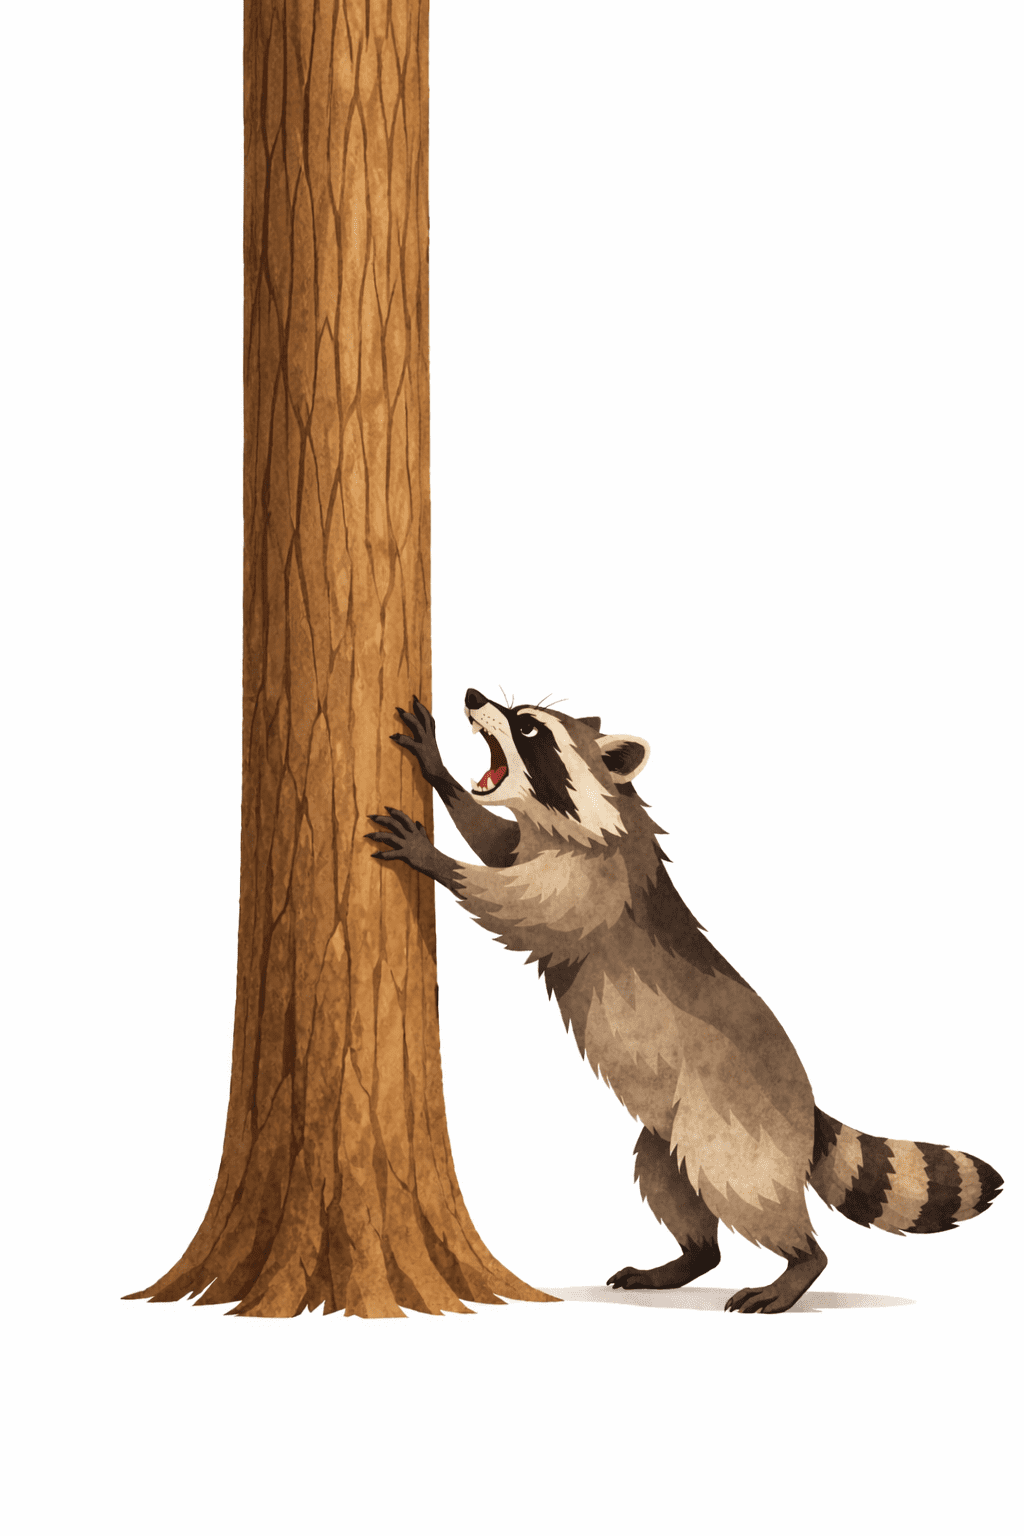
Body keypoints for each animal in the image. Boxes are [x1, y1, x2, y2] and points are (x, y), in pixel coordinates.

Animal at [367, 690, 1003, 1313]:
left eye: (528, 728)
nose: (474, 696)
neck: (573, 820)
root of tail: (806, 1106)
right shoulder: (542, 845)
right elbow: (496, 843)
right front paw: (442, 773)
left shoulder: (597, 886)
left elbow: (512, 902)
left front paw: (434, 857)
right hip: (672, 1130)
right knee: (668, 1178)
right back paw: (690, 1259)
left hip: (737, 1121)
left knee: (744, 1190)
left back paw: (800, 1265)